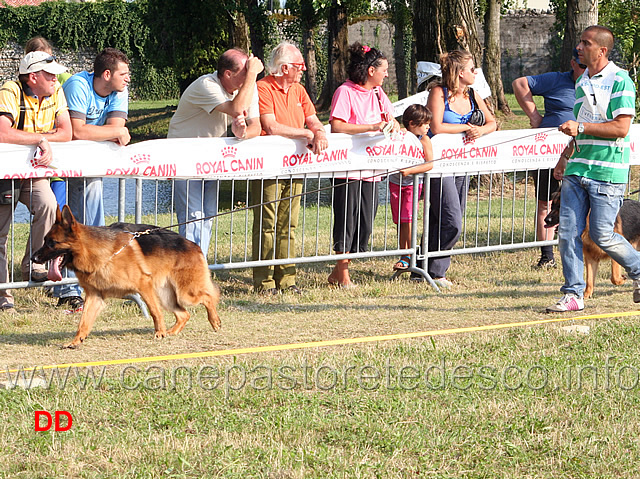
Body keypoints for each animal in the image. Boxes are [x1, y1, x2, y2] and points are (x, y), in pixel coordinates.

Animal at [33, 206, 222, 348]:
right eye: (45, 240)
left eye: (52, 243)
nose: (33, 258)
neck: (96, 252)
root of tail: (193, 245)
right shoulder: (95, 296)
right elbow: (84, 321)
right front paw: (76, 340)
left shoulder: (144, 286)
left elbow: (154, 312)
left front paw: (159, 332)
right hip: (166, 297)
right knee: (184, 315)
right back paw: (173, 332)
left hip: (185, 293)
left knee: (208, 297)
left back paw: (214, 321)